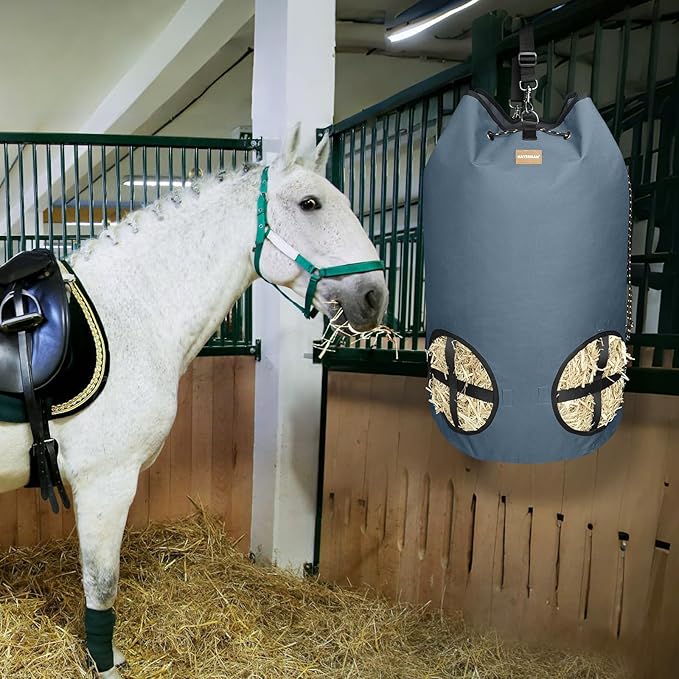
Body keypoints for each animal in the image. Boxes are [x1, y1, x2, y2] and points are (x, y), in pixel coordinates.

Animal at [0, 125, 388, 678]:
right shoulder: (105, 483)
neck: (128, 312)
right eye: (310, 203)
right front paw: (105, 664)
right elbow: (102, 585)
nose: (374, 296)